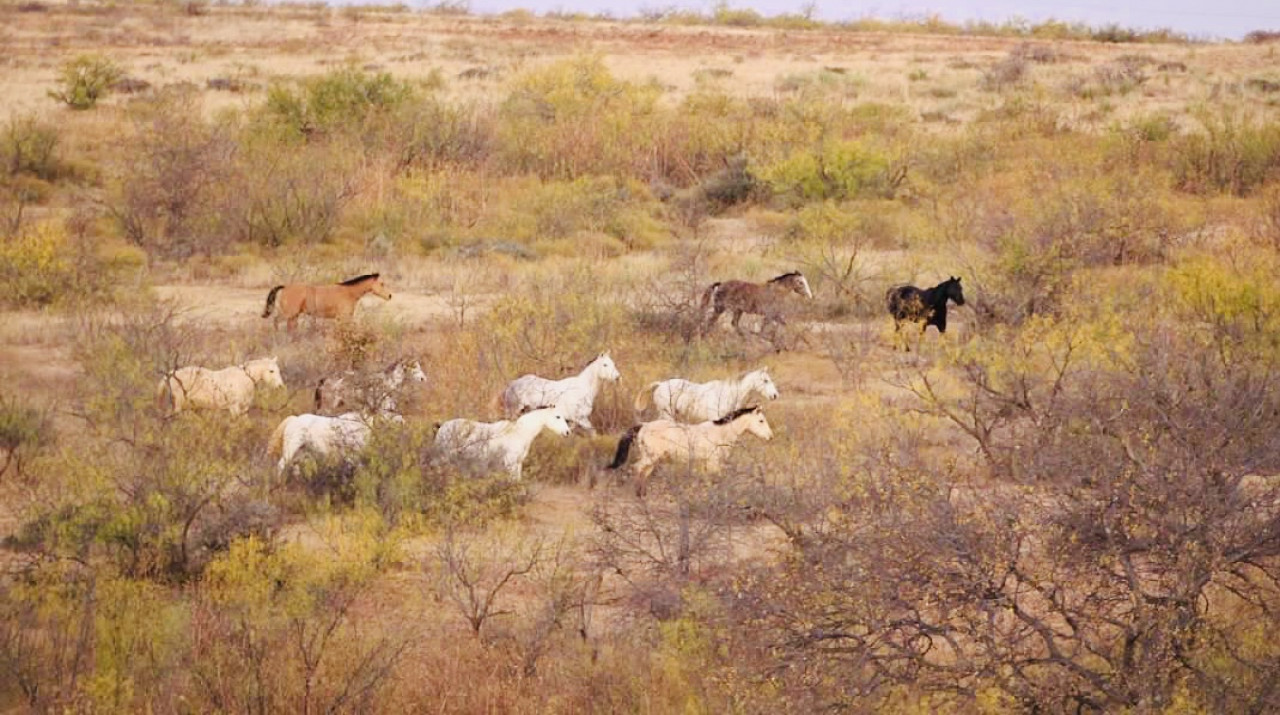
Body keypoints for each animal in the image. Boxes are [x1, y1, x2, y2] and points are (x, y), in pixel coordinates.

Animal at [261, 273, 392, 331]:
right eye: (382, 284)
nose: (389, 296)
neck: (349, 292)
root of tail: (285, 287)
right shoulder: (344, 317)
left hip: (294, 316)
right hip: (289, 313)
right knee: (276, 321)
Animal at [268, 412, 402, 474]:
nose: (403, 421)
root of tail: (294, 420)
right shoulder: (352, 457)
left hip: (301, 451)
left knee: (294, 467)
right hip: (291, 449)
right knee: (281, 465)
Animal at [433, 407, 572, 481]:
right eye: (557, 416)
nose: (567, 432)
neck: (519, 432)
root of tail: (442, 427)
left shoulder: (518, 464)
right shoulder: (510, 463)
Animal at [607, 406, 774, 497]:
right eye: (761, 421)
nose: (770, 437)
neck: (720, 434)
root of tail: (644, 425)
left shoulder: (705, 464)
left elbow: (707, 482)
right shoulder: (714, 464)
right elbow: (717, 481)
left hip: (652, 460)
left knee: (644, 473)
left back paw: (643, 495)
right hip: (649, 458)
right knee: (636, 468)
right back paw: (638, 497)